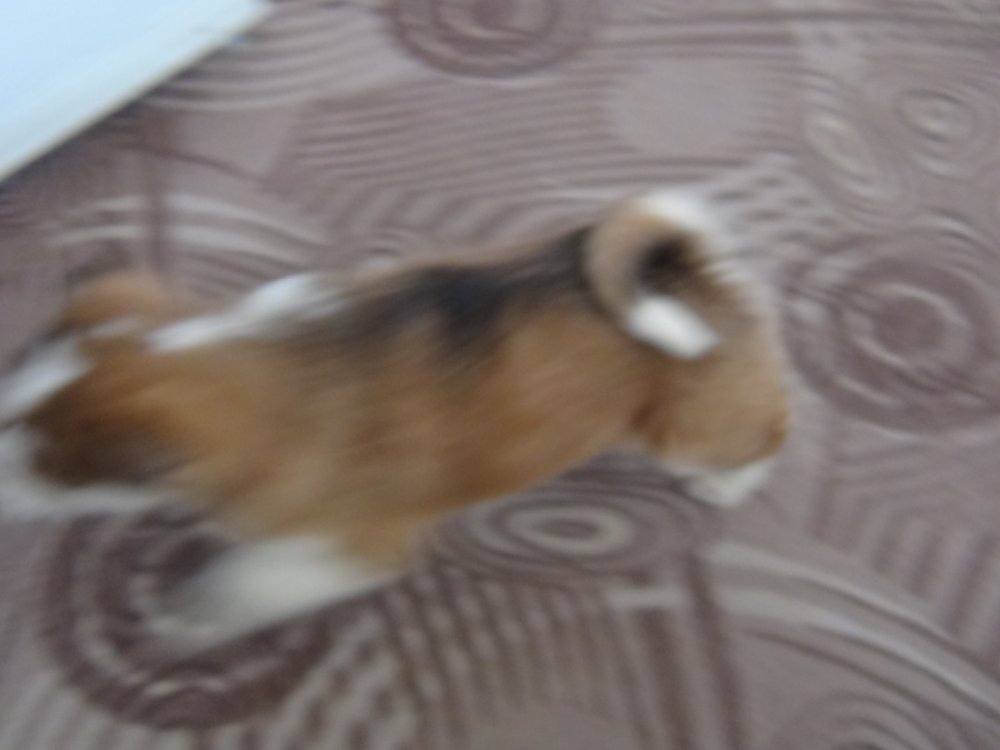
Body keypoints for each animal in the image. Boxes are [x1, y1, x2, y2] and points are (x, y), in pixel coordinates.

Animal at [0, 191, 790, 647]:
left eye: (40, 465)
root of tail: (696, 270)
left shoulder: (352, 547)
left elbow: (249, 579)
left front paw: (191, 615)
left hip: (694, 429)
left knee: (769, 433)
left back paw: (725, 484)